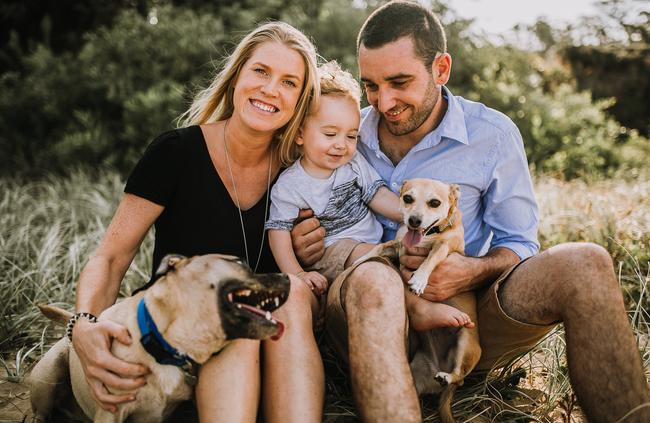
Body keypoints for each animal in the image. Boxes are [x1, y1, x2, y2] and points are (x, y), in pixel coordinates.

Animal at [354, 180, 480, 423]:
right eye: (407, 198)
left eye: (435, 203)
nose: (413, 220)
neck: (429, 234)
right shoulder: (398, 246)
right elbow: (379, 247)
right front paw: (360, 259)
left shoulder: (443, 248)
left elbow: (430, 259)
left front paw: (420, 279)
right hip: (415, 372)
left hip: (467, 344)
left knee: (460, 377)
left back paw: (447, 377)